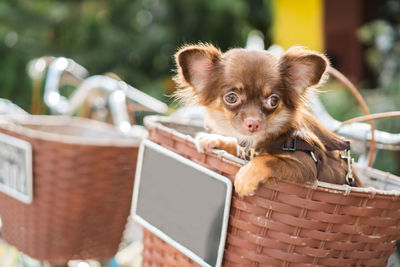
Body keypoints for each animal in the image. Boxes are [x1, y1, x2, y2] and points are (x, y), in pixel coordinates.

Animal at [173, 42, 360, 197]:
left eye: (273, 101)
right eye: (232, 98)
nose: (253, 123)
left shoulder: (305, 165)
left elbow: (268, 160)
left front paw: (245, 177)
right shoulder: (244, 150)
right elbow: (235, 145)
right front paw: (212, 139)